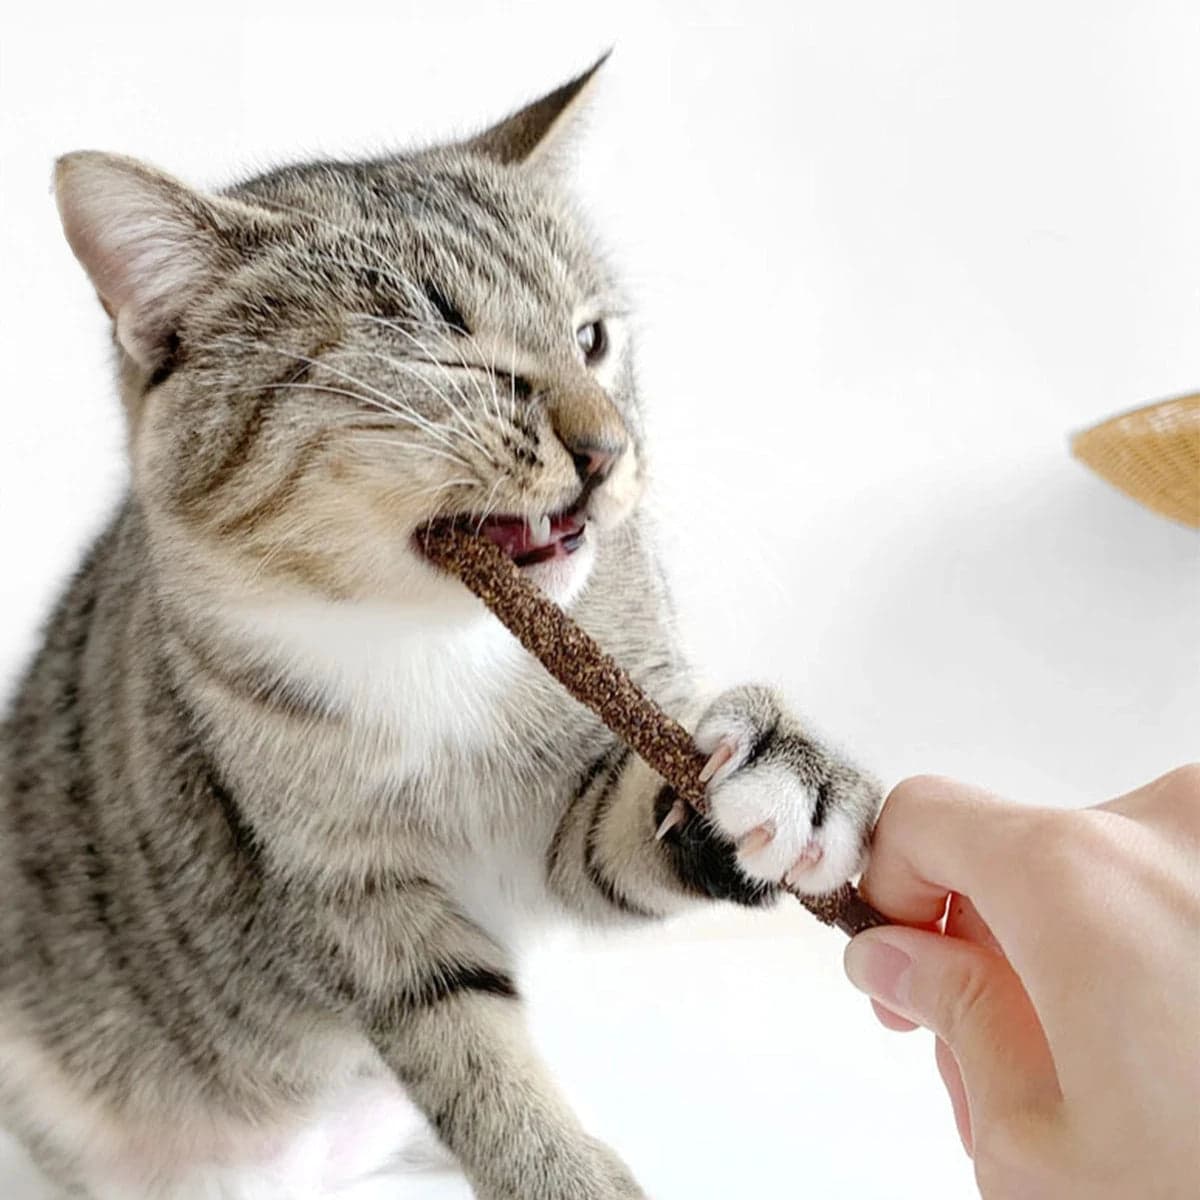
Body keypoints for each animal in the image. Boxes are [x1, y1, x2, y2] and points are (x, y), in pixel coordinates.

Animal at [0, 58, 883, 1200]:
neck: (436, 644)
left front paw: (787, 770)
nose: (611, 449)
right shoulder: (346, 888)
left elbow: (620, 830)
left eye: (593, 339)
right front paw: (562, 1172)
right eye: (455, 360)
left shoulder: (583, 769)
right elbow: (460, 1036)